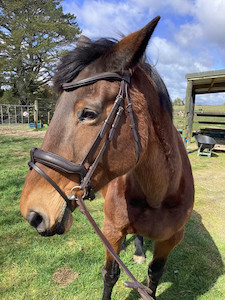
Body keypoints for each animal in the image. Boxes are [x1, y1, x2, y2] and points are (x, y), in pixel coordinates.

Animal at [20, 17, 194, 300]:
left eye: (88, 113)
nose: (32, 213)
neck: (159, 195)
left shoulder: (170, 240)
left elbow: (154, 275)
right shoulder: (111, 232)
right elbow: (110, 275)